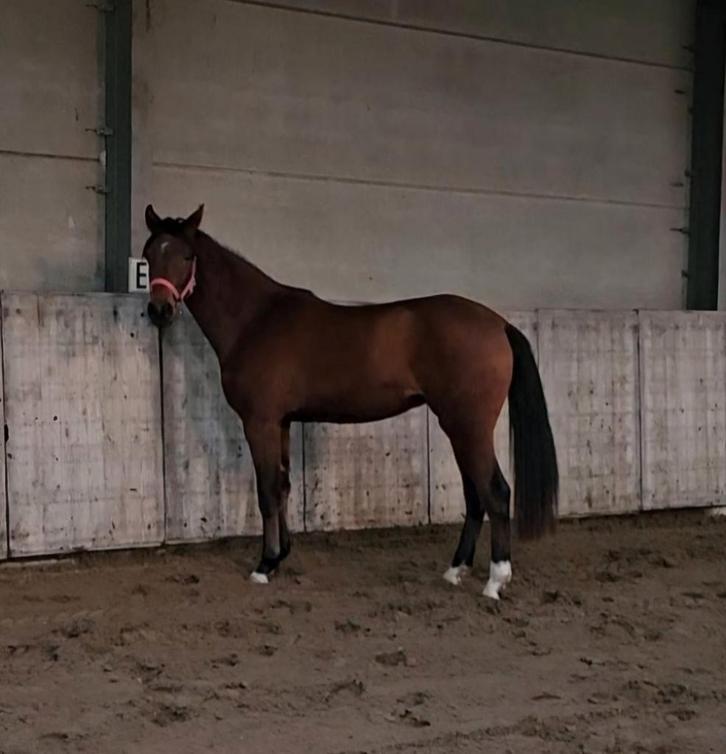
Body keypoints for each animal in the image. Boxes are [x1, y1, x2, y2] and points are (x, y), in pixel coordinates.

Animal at [142, 204, 558, 599]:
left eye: (186, 255)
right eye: (148, 255)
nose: (159, 311)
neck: (256, 319)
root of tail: (498, 324)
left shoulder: (260, 422)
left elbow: (266, 491)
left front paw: (264, 565)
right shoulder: (282, 422)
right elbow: (283, 486)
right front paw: (281, 555)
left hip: (468, 427)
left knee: (496, 493)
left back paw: (495, 581)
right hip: (460, 429)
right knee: (475, 495)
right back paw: (456, 570)